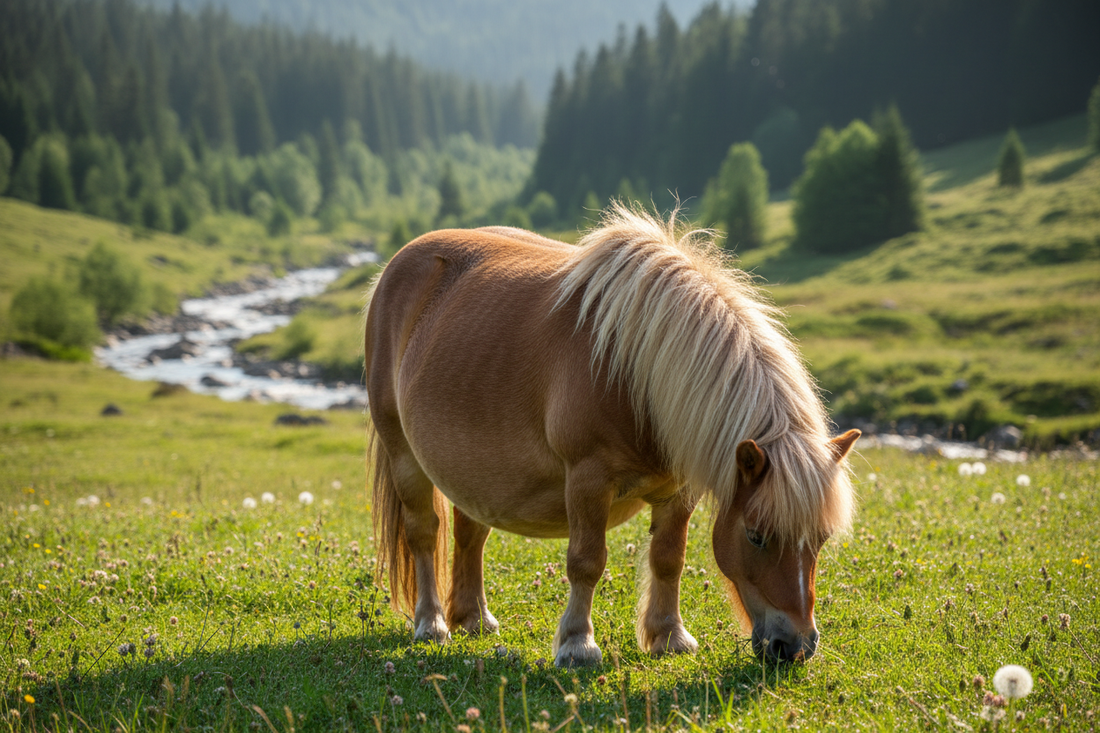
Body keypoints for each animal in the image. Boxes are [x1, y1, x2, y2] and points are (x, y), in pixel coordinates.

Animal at [363, 203, 858, 667]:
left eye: (821, 539)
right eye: (756, 536)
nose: (796, 646)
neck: (633, 370)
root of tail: (398, 266)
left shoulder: (680, 490)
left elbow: (669, 558)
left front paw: (668, 637)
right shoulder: (587, 480)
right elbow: (586, 562)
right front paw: (577, 645)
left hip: (474, 470)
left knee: (470, 534)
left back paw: (473, 620)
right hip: (403, 454)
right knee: (424, 533)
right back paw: (432, 624)